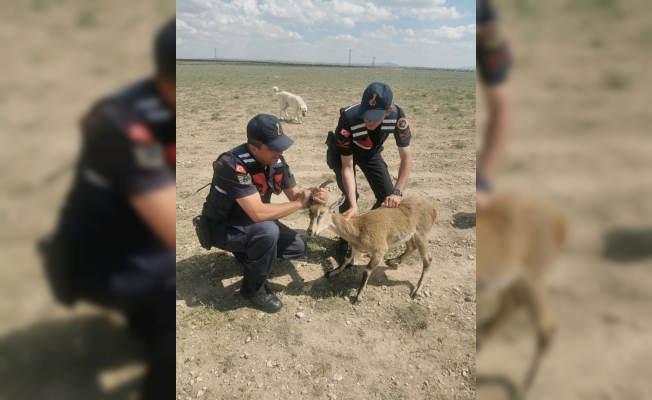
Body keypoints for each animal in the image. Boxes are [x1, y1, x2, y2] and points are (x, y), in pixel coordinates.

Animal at [306, 180, 438, 302]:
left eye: (321, 213)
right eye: (309, 212)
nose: (310, 231)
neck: (358, 229)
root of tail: (432, 208)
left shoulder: (380, 249)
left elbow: (367, 270)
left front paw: (358, 297)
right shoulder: (355, 247)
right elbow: (347, 259)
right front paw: (332, 272)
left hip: (422, 234)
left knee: (427, 259)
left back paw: (416, 291)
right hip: (408, 235)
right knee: (411, 247)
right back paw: (393, 261)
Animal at [476, 192, 564, 398]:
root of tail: (558, 219)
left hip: (531, 276)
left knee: (545, 329)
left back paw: (525, 387)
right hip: (514, 278)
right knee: (511, 306)